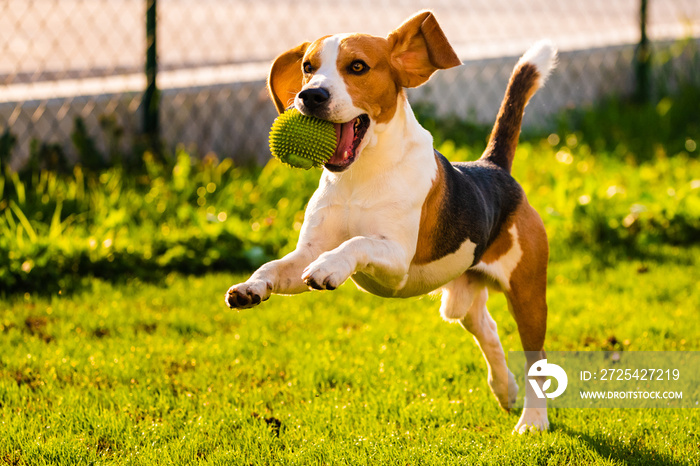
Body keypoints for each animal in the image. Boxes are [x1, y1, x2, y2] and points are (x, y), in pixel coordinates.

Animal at [227, 10, 556, 434]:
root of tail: (493, 167)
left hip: (528, 296)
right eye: (307, 68)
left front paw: (331, 268)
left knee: (536, 358)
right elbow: (274, 266)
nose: (310, 96)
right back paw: (504, 389)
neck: (358, 175)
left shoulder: (396, 261)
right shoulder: (305, 253)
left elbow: (356, 243)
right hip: (462, 297)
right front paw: (250, 287)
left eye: (357, 67)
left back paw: (533, 419)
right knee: (488, 330)